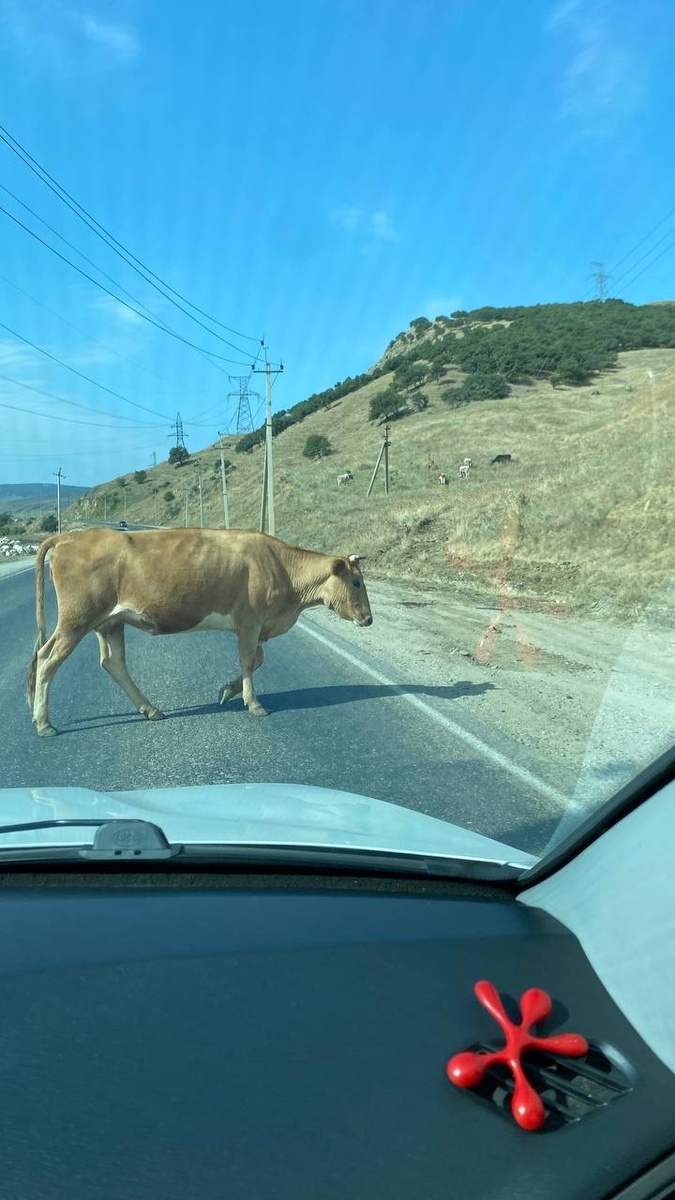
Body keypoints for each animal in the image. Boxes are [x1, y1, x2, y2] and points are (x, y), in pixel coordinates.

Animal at [27, 528, 373, 737]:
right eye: (356, 582)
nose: (368, 619)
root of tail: (67, 537)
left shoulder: (254, 625)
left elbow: (257, 659)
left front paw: (228, 691)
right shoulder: (250, 620)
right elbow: (249, 660)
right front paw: (253, 703)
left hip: (109, 622)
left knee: (113, 664)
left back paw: (151, 709)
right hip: (76, 619)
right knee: (47, 660)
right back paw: (43, 722)